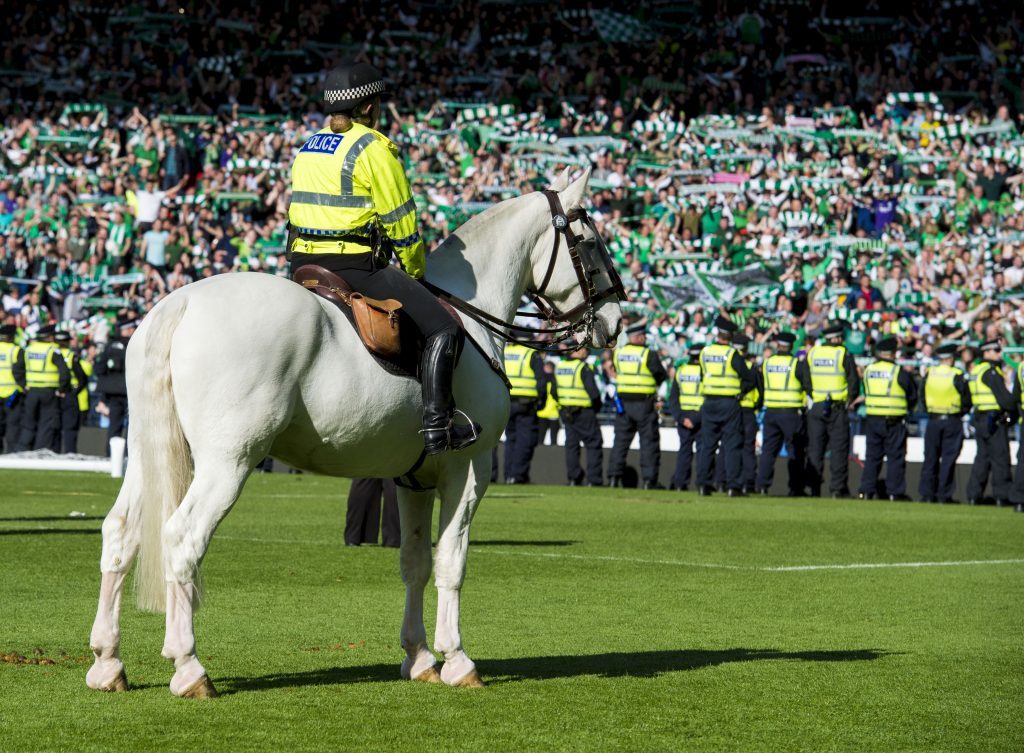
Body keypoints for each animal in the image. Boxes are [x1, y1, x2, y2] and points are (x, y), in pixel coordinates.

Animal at [86, 168, 622, 696]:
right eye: (590, 241)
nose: (615, 322)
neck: (472, 320)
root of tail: (183, 303)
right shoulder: (468, 472)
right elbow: (452, 563)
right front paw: (456, 659)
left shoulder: (415, 480)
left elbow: (415, 563)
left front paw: (419, 657)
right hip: (227, 463)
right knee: (182, 540)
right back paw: (189, 667)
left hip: (148, 456)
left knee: (120, 535)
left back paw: (108, 662)